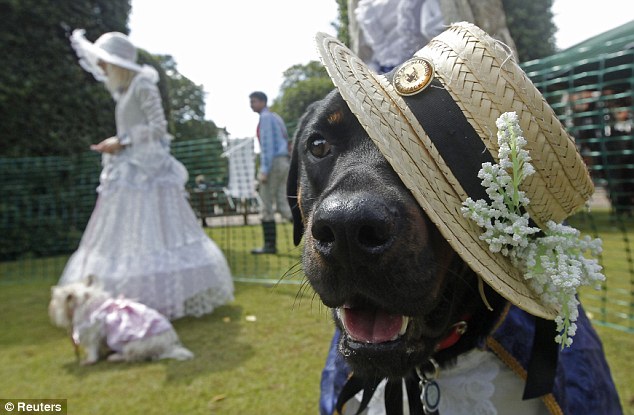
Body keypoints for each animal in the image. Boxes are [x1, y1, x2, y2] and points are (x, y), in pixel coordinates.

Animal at [48, 278, 193, 366]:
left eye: (56, 300)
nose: (51, 307)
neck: (83, 304)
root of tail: (168, 347)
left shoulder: (92, 334)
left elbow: (92, 350)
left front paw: (89, 361)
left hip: (132, 345)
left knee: (132, 357)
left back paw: (115, 357)